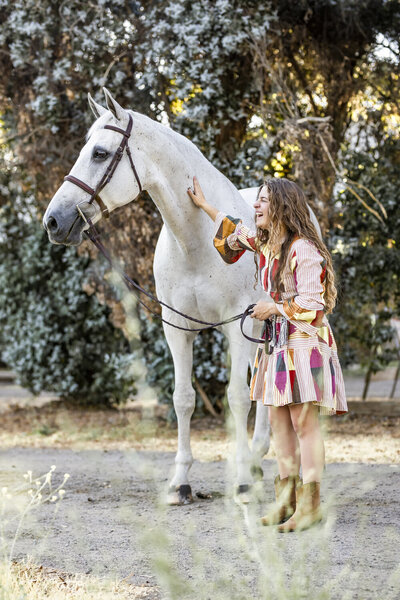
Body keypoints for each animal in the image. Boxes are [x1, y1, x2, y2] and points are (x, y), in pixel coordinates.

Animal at [43, 86, 316, 504]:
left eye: (100, 153)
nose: (54, 221)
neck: (195, 240)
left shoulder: (236, 326)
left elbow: (237, 398)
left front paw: (240, 482)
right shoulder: (177, 328)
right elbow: (183, 399)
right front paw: (180, 482)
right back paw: (256, 459)